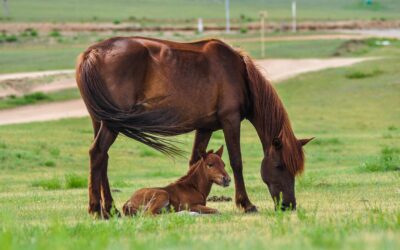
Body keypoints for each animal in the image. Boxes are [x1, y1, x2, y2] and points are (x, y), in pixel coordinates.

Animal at [75, 36, 312, 218]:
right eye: (280, 166)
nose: (289, 205)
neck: (239, 74)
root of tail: (91, 54)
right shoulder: (230, 120)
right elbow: (236, 162)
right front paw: (246, 204)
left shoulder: (205, 127)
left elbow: (195, 160)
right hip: (111, 124)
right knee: (97, 153)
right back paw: (97, 210)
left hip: (101, 121)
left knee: (103, 159)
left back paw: (110, 209)